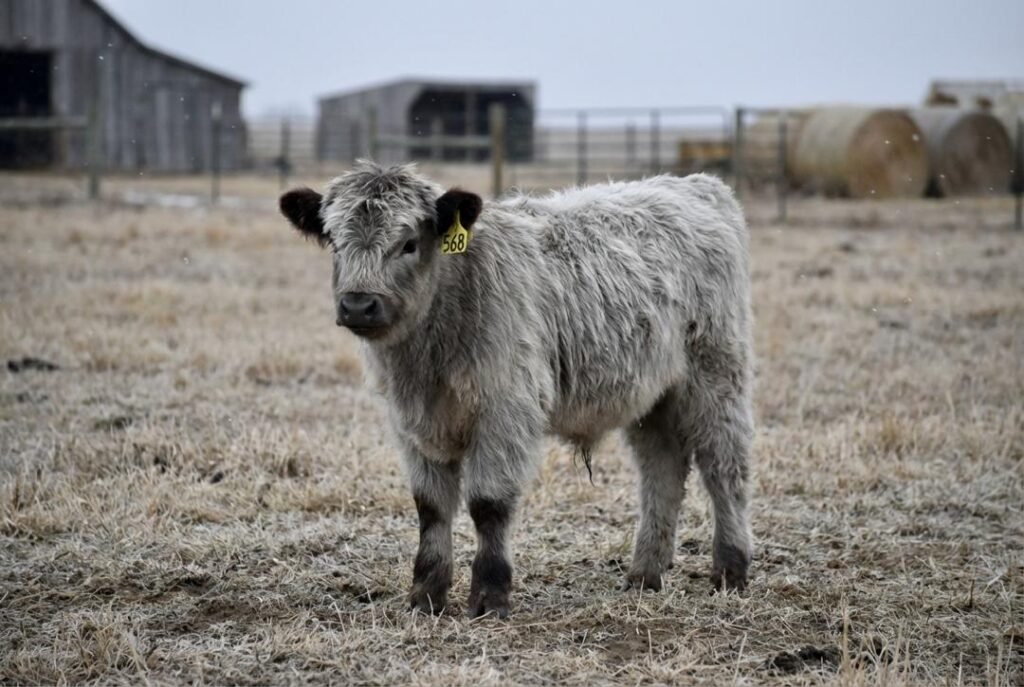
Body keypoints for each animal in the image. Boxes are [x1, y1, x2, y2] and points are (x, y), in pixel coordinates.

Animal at [278, 161, 754, 618]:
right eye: (334, 243)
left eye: (409, 243)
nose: (358, 304)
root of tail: (694, 184)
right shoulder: (412, 423)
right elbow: (430, 507)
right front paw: (426, 595)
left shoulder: (506, 409)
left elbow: (488, 505)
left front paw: (490, 595)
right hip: (651, 398)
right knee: (662, 470)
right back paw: (644, 574)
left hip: (716, 377)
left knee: (724, 468)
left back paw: (730, 569)